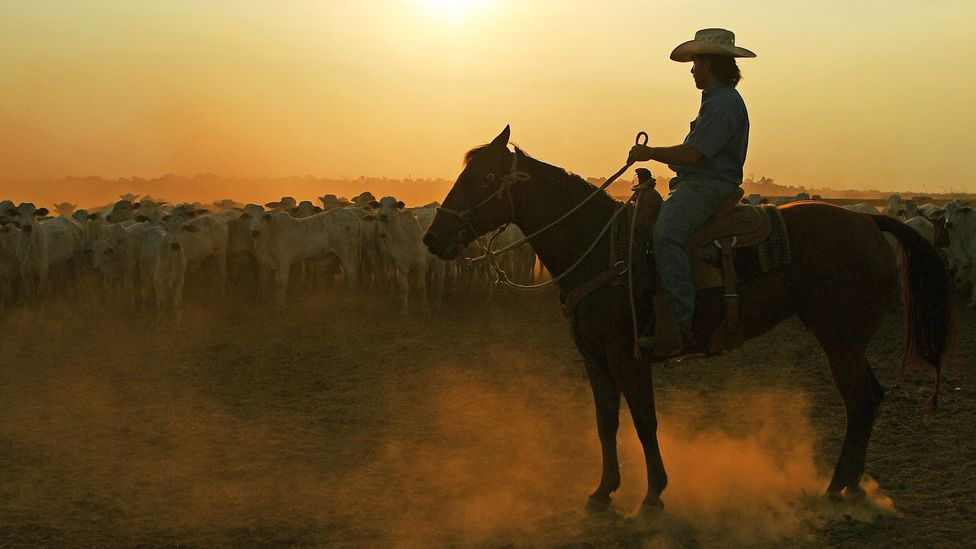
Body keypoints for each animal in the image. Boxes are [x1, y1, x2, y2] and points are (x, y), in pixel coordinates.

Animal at [424, 126, 948, 516]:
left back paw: (836, 487)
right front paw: (603, 490)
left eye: (486, 177)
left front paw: (653, 495)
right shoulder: (593, 358)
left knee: (859, 402)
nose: (433, 238)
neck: (600, 247)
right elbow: (606, 422)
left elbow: (644, 421)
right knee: (870, 399)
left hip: (839, 339)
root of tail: (867, 222)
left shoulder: (628, 355)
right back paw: (853, 485)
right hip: (848, 341)